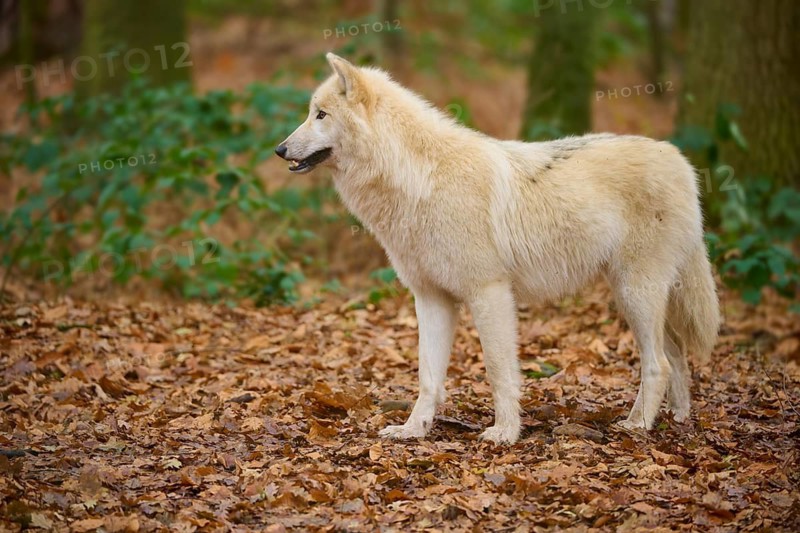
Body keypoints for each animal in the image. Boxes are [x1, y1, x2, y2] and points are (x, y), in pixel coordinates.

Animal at [276, 53, 720, 444]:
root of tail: (679, 160)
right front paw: (412, 430)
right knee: (676, 356)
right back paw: (676, 419)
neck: (419, 179)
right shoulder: (430, 298)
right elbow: (427, 376)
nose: (279, 149)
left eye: (320, 114)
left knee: (659, 363)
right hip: (637, 296)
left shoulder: (489, 293)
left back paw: (637, 426)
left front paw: (505, 433)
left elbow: (498, 370)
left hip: (635, 293)